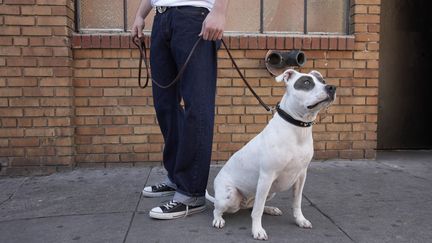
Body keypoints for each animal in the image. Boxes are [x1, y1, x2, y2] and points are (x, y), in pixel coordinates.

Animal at [207, 69, 338, 240]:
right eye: (306, 82)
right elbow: (257, 211)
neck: (298, 129)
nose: (331, 87)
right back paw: (218, 219)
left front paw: (300, 220)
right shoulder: (266, 176)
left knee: (253, 205)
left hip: (270, 192)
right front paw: (257, 230)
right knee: (220, 208)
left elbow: (297, 202)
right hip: (229, 196)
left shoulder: (301, 176)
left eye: (323, 81)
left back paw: (270, 209)